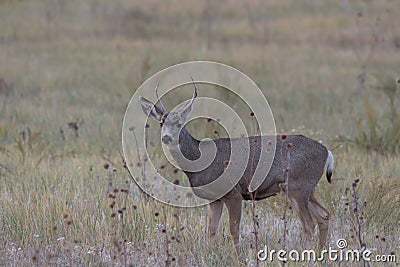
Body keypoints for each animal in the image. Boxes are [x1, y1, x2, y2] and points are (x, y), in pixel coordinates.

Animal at [139, 82, 332, 254]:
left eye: (180, 124)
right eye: (161, 123)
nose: (166, 137)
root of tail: (327, 152)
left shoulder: (233, 193)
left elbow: (234, 230)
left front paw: (237, 257)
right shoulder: (215, 199)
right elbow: (211, 229)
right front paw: (210, 254)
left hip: (297, 187)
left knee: (309, 224)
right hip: (306, 189)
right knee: (324, 215)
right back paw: (319, 254)